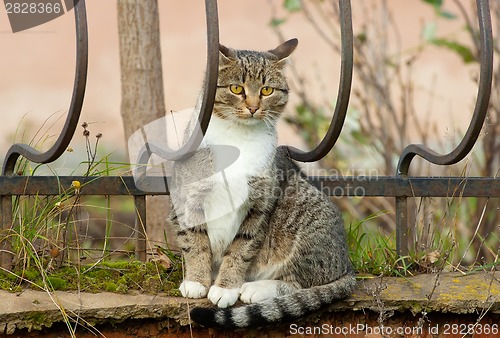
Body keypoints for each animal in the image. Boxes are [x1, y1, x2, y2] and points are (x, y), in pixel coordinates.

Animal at [169, 38, 356, 328]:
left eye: (267, 90)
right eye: (237, 88)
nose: (254, 107)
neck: (238, 138)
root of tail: (348, 266)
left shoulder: (259, 205)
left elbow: (241, 247)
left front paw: (225, 287)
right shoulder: (187, 196)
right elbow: (194, 241)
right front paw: (196, 281)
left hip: (304, 220)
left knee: (300, 284)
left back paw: (256, 289)